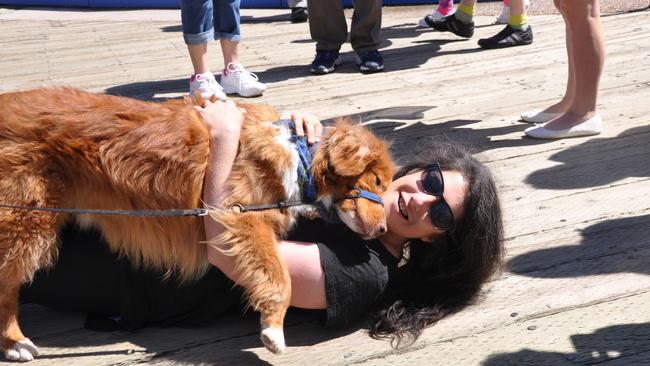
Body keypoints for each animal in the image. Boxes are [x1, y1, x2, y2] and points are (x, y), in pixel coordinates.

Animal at [0, 87, 394, 358]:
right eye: (376, 181)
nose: (384, 230)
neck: (298, 155)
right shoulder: (237, 217)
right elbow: (278, 276)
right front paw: (273, 330)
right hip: (27, 221)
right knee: (7, 286)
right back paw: (15, 342)